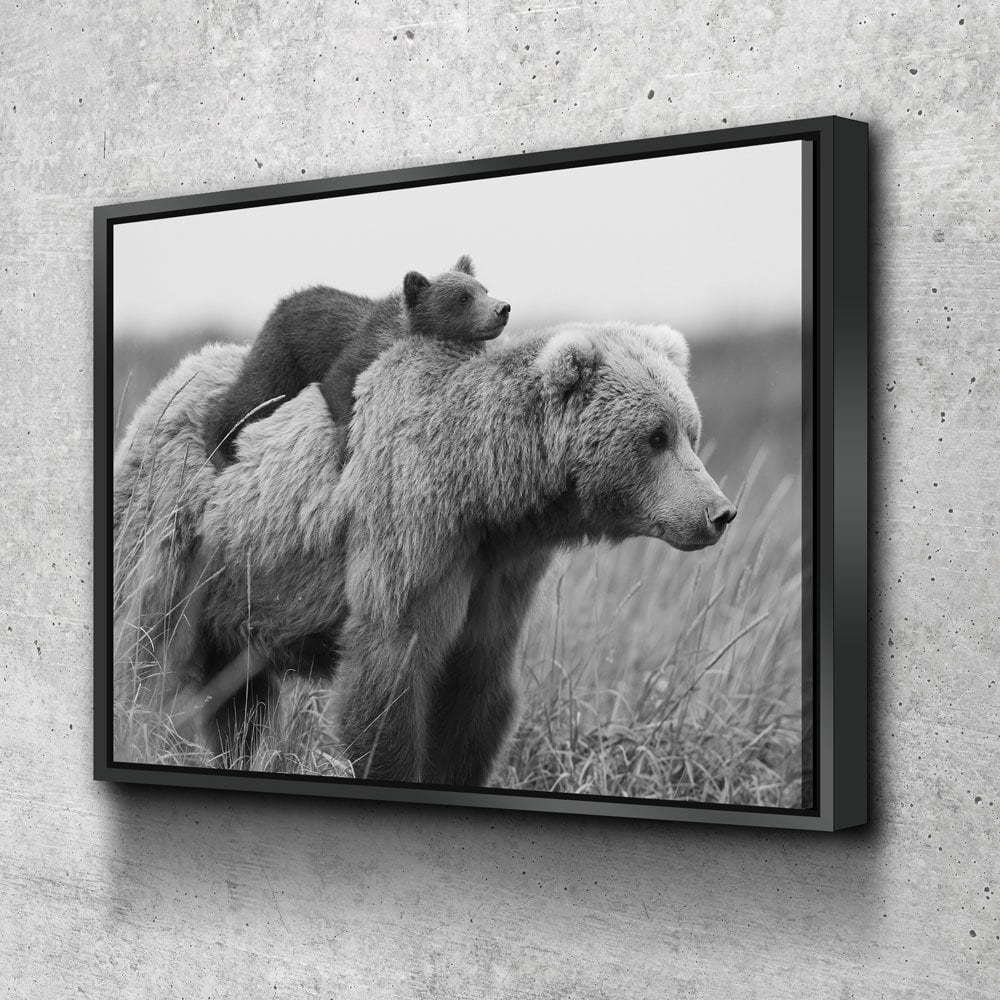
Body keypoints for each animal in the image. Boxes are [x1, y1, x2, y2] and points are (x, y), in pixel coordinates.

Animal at [152, 321, 738, 784]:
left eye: (690, 430)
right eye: (655, 436)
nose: (719, 512)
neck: (483, 487)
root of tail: (179, 372)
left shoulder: (500, 570)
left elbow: (477, 689)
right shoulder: (412, 531)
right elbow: (390, 674)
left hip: (236, 602)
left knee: (240, 704)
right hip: (182, 547)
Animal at [201, 255, 511, 468]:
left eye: (483, 289)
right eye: (463, 298)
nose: (502, 308)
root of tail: (282, 303)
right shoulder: (362, 350)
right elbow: (339, 383)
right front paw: (345, 449)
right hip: (283, 355)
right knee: (253, 395)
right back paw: (219, 447)